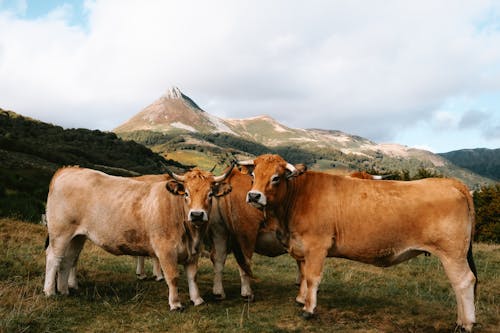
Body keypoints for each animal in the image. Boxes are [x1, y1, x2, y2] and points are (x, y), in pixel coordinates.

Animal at [42, 165, 232, 310]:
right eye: (186, 193)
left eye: (210, 194)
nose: (197, 215)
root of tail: (69, 169)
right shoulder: (165, 250)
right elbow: (173, 276)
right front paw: (175, 304)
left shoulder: (194, 251)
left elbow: (193, 276)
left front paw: (197, 300)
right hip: (60, 232)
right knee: (54, 258)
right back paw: (50, 291)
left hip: (77, 236)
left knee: (68, 260)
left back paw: (64, 290)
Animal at [238, 154, 476, 330]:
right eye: (253, 175)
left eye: (276, 178)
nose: (253, 196)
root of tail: (450, 183)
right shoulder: (302, 247)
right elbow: (304, 276)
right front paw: (301, 300)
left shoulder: (317, 245)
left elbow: (313, 278)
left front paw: (308, 309)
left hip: (453, 252)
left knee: (464, 282)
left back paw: (466, 323)